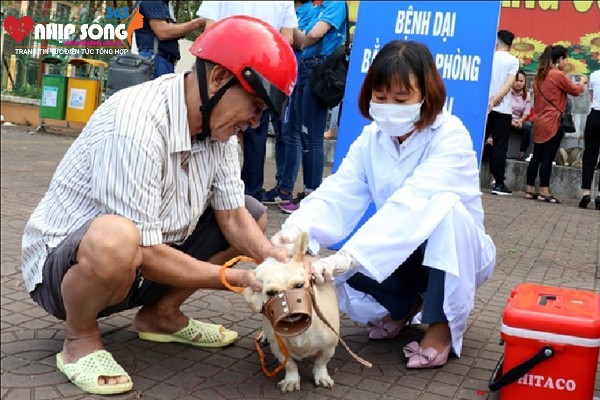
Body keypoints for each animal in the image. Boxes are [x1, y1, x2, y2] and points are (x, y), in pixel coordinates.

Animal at [243, 233, 338, 392]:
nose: (290, 310)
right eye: (271, 293)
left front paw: (321, 376)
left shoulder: (329, 347)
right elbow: (290, 365)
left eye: (299, 285)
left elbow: (321, 362)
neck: (296, 328)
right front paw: (291, 380)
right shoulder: (279, 350)